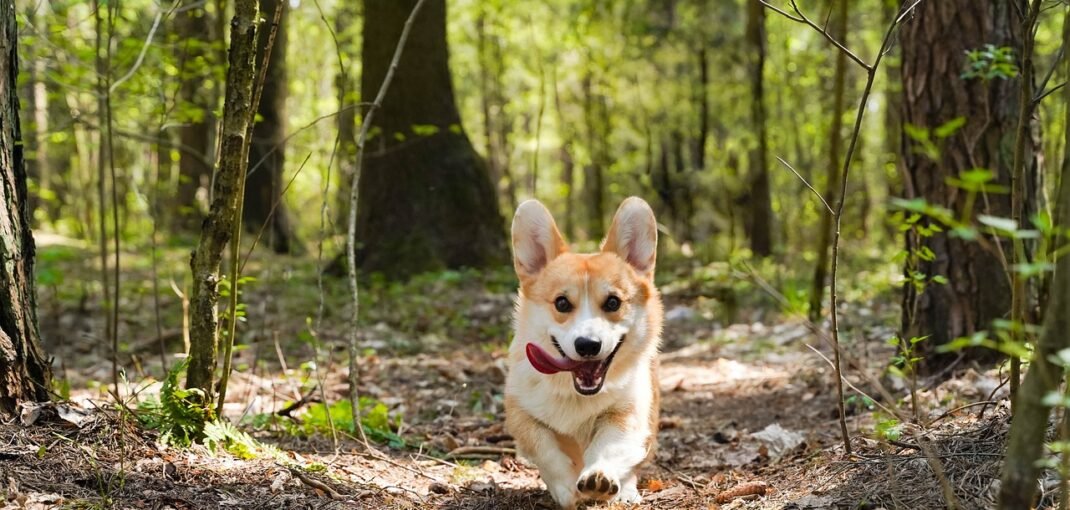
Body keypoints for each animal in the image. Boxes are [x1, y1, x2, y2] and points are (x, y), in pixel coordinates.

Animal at [505, 196, 663, 506]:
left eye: (613, 302)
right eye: (562, 303)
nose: (588, 345)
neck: (576, 394)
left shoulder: (626, 413)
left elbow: (608, 445)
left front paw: (598, 477)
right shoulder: (520, 414)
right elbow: (546, 449)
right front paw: (566, 488)